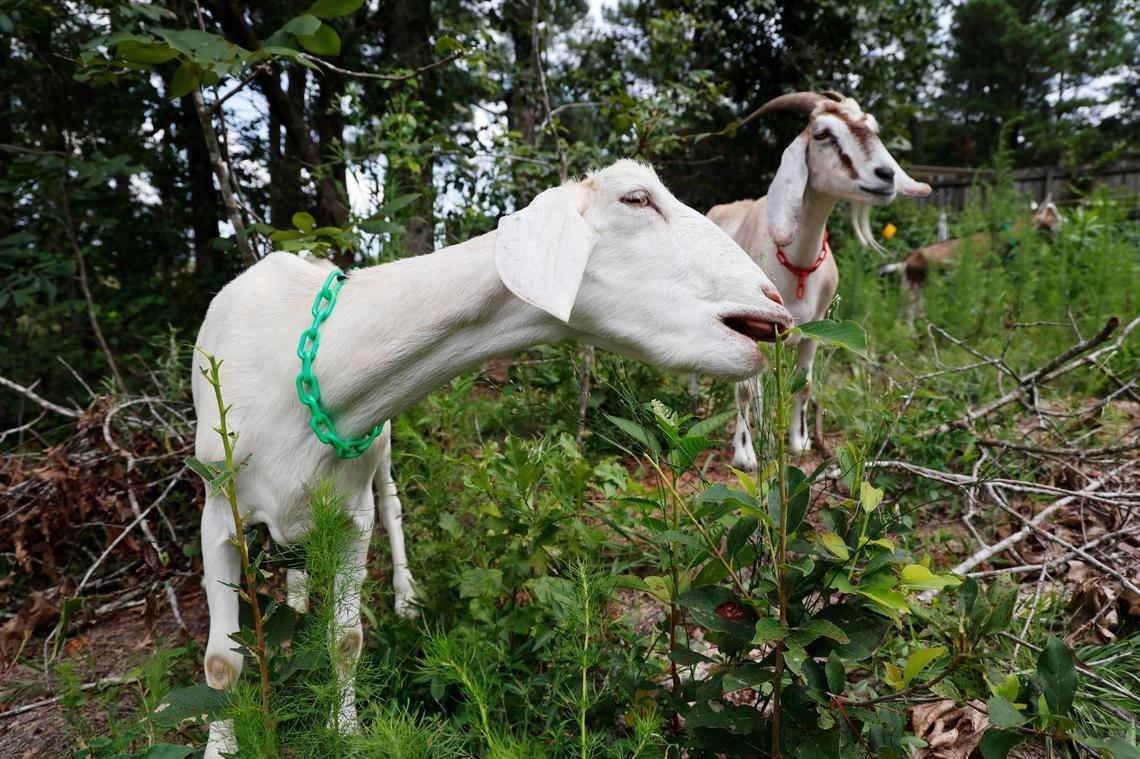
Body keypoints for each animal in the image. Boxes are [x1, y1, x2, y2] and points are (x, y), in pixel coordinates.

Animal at [191, 159, 792, 757]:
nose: (773, 301)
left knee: (392, 505)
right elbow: (221, 664)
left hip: (379, 455)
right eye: (636, 199)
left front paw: (346, 731)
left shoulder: (351, 515)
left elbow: (347, 638)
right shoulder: (219, 512)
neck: (308, 369)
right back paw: (296, 597)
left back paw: (404, 599)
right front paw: (222, 747)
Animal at [707, 91, 930, 467]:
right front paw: (745, 454)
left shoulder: (816, 329)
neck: (796, 265)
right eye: (823, 133)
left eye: (872, 127)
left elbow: (805, 384)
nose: (886, 175)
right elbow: (747, 390)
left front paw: (800, 441)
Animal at [878, 195, 1063, 323]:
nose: (1064, 223)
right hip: (915, 285)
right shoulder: (980, 274)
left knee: (903, 309)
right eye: (1053, 214)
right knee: (910, 312)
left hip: (909, 283)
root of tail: (906, 261)